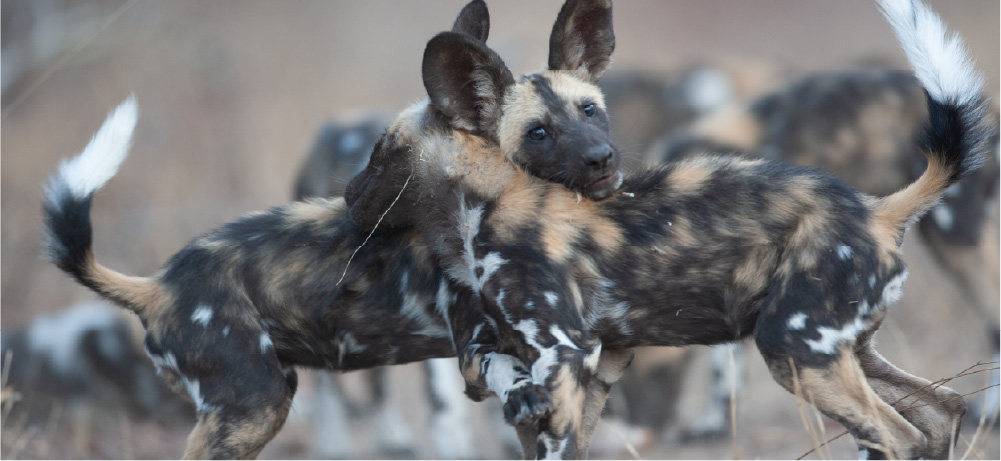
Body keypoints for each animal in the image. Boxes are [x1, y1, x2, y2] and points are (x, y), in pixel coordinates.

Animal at [344, 0, 992, 456]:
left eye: (381, 154)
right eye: (538, 132)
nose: (348, 197)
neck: (488, 200)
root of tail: (876, 208)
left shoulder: (564, 356)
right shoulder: (587, 369)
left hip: (793, 349)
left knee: (898, 435)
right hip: (842, 350)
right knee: (941, 411)